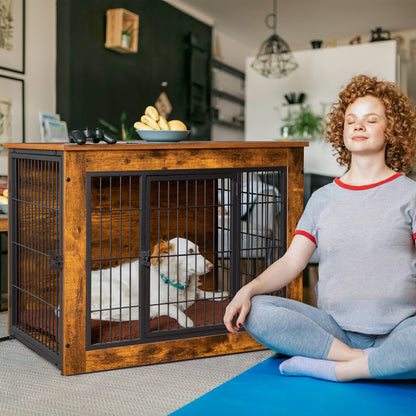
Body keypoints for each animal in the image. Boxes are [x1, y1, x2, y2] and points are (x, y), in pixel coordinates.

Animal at [89, 237, 229, 328]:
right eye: (190, 251)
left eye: (198, 250)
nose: (212, 266)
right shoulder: (156, 303)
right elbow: (172, 307)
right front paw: (186, 320)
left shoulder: (192, 293)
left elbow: (202, 292)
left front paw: (219, 295)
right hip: (120, 291)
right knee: (106, 314)